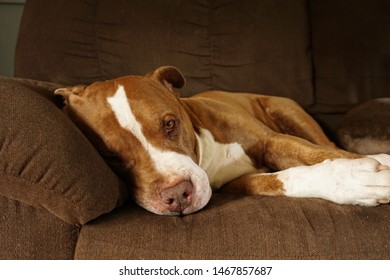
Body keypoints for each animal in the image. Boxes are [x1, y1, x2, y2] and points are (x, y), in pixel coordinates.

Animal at [54, 66, 390, 215]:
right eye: (111, 156)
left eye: (169, 124)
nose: (176, 195)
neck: (206, 153)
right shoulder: (238, 184)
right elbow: (287, 178)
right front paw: (354, 182)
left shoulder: (271, 140)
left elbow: (314, 153)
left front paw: (363, 173)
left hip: (287, 110)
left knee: (330, 146)